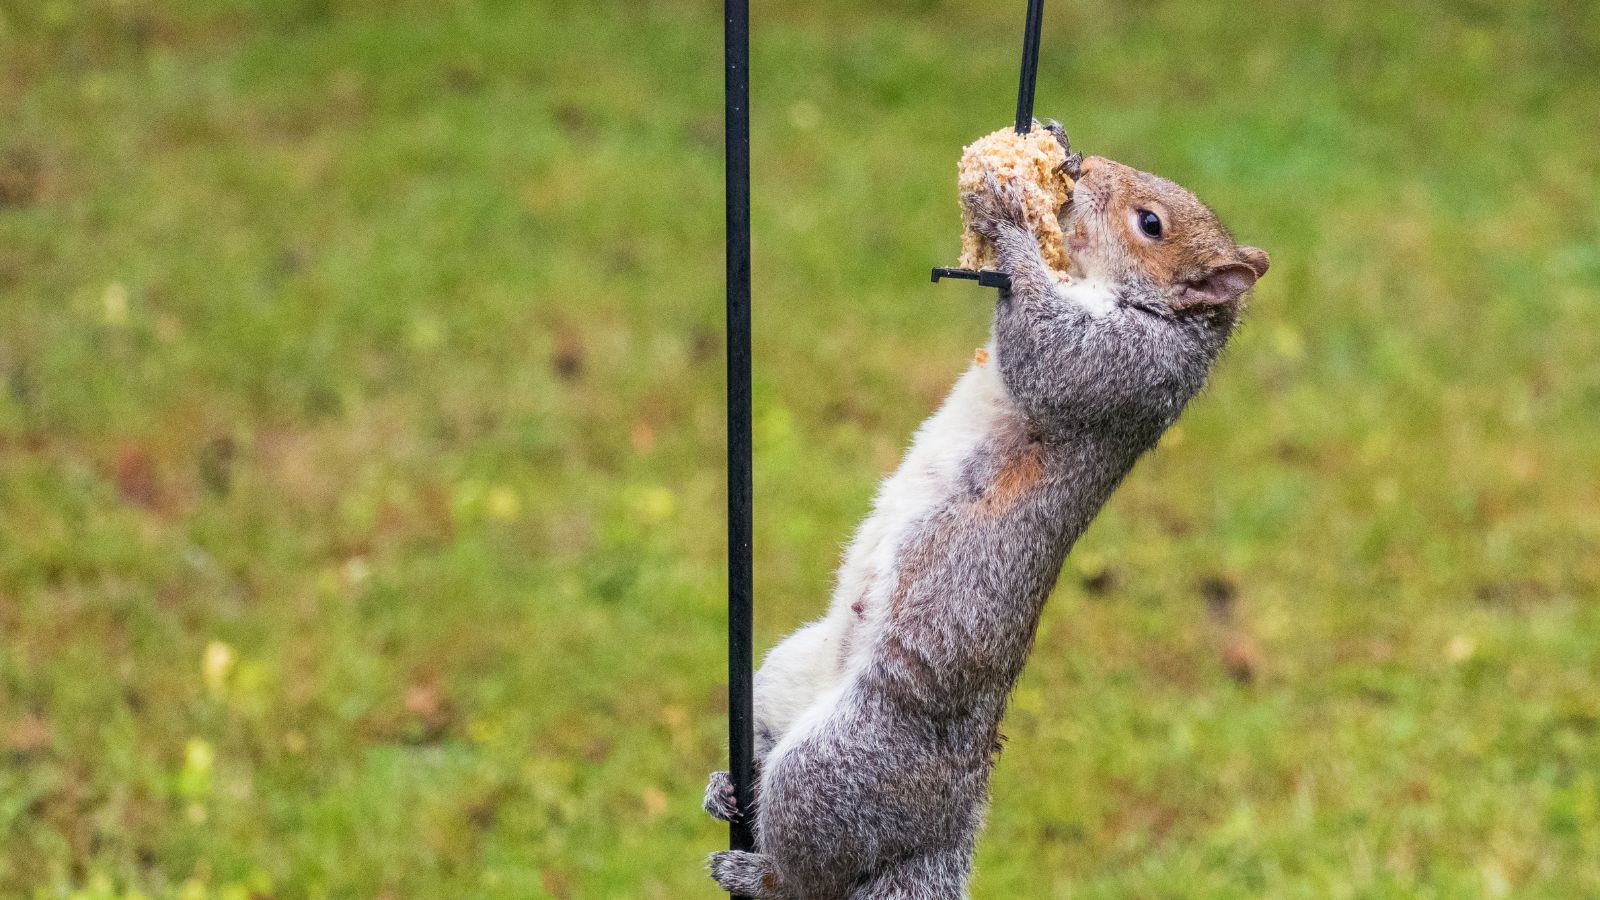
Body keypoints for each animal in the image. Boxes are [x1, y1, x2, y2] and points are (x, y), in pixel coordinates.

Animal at [707, 122, 1267, 890]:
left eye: (1150, 224)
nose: (1083, 167)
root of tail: (949, 814)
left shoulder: (1124, 367)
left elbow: (1049, 348)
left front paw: (1009, 214)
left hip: (842, 763)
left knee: (811, 872)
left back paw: (757, 873)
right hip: (783, 675)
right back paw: (726, 788)